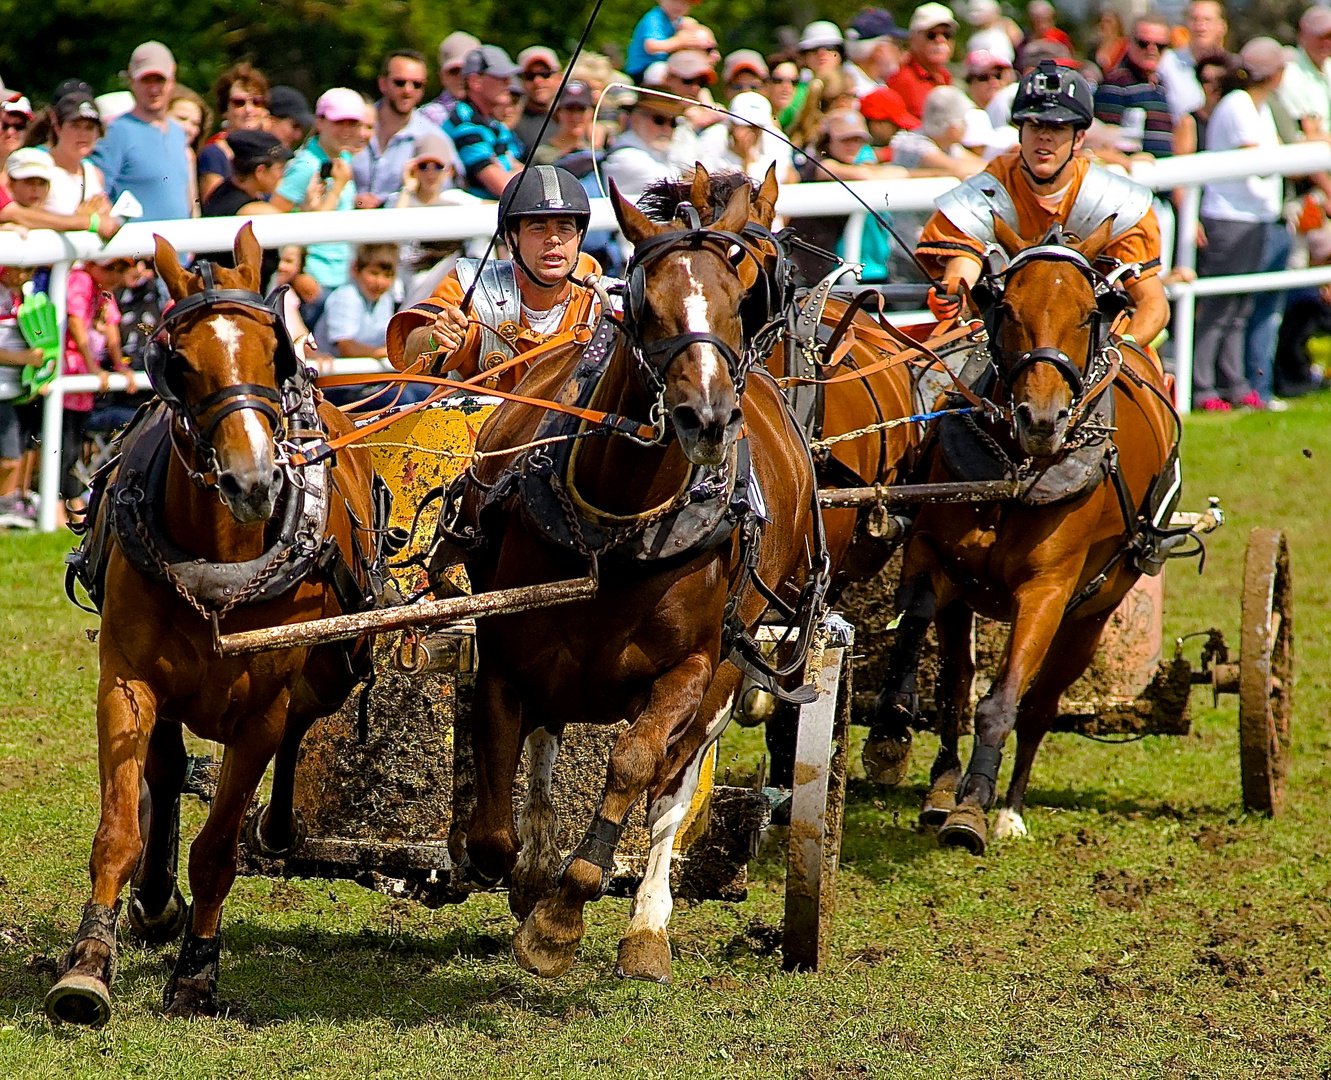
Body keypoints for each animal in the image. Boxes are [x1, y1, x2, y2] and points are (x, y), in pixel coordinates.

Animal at [46, 226, 380, 1022]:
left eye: (273, 357)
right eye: (181, 365)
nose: (252, 481)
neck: (223, 560)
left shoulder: (261, 709)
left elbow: (219, 847)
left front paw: (198, 971)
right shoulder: (128, 682)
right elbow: (119, 828)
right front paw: (89, 961)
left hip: (331, 664)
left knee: (299, 728)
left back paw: (277, 829)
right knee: (166, 772)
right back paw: (153, 900)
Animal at [439, 175, 819, 980]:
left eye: (738, 301)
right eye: (642, 306)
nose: (707, 417)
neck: (617, 521)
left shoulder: (692, 668)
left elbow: (636, 766)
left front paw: (562, 919)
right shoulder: (507, 658)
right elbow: (496, 815)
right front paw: (529, 882)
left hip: (728, 673)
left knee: (671, 787)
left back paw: (647, 929)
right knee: (547, 748)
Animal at [867, 219, 1181, 857]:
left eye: (1089, 314)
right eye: (1006, 307)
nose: (1041, 419)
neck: (1015, 469)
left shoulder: (1046, 592)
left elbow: (1004, 700)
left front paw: (975, 807)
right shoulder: (934, 555)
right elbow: (915, 628)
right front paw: (891, 722)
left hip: (1092, 615)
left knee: (1038, 705)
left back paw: (1008, 807)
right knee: (957, 684)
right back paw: (941, 789)